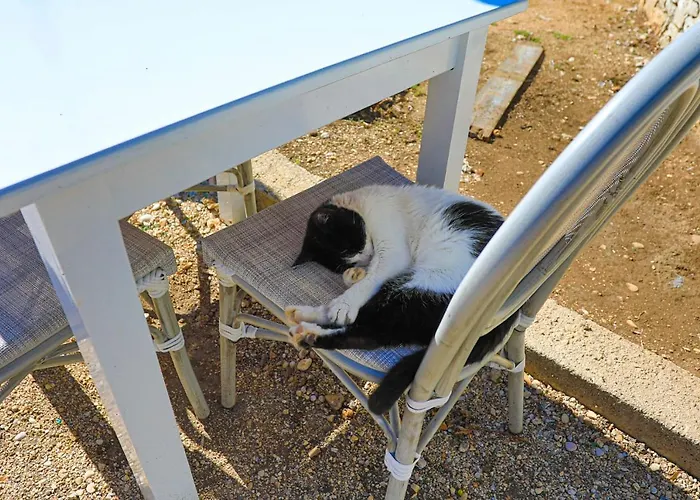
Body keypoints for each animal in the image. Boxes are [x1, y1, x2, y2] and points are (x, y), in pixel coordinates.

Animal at [284, 183, 518, 415]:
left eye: (353, 246)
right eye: (349, 258)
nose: (365, 257)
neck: (364, 203)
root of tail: (508, 318)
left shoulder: (391, 248)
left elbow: (373, 277)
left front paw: (346, 301)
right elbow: (364, 278)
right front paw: (354, 275)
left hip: (425, 289)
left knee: (370, 333)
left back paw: (308, 331)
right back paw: (302, 316)